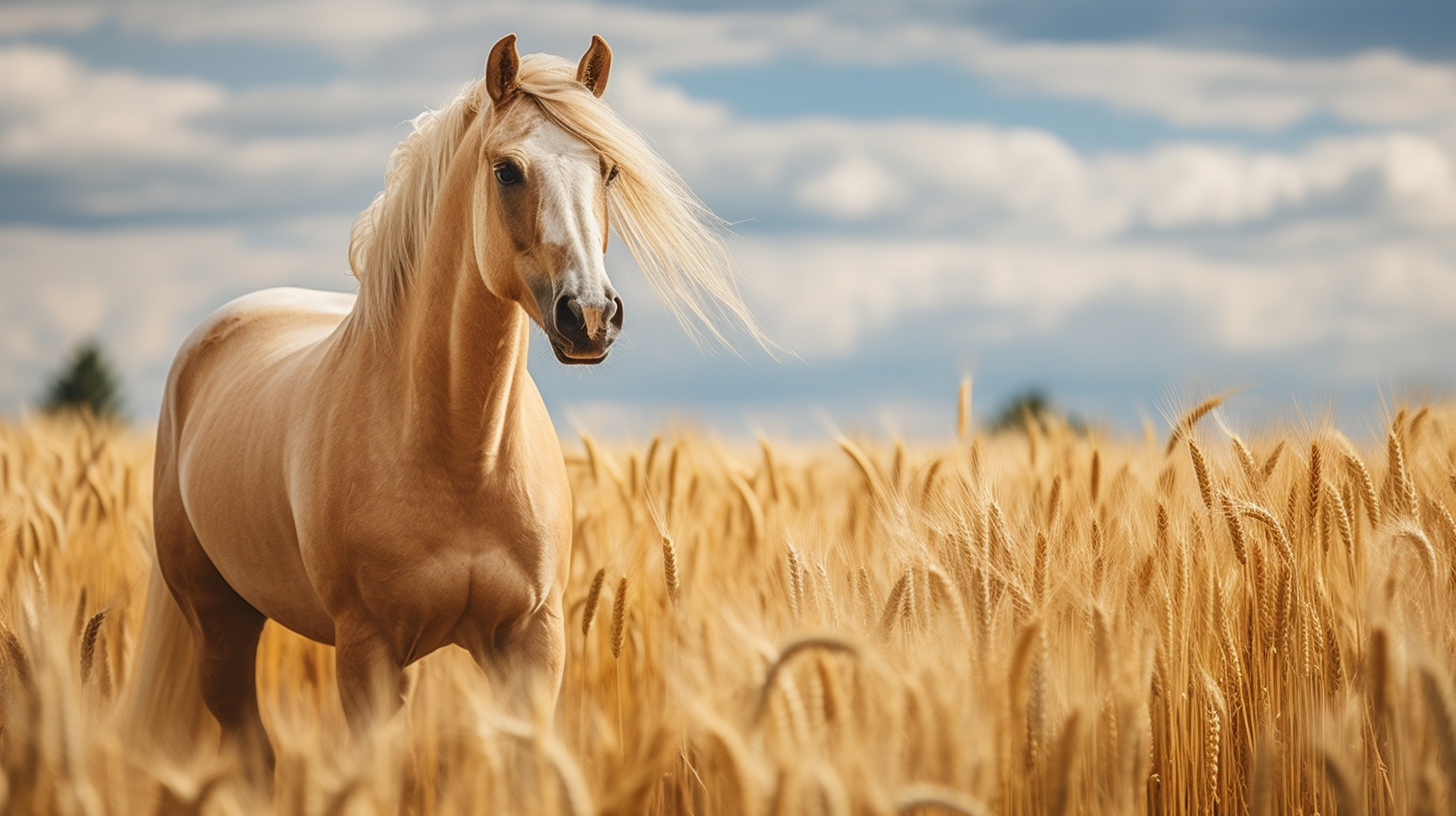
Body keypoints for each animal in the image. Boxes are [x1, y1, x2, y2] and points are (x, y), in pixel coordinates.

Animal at [129, 34, 768, 775]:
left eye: (608, 170)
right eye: (507, 171)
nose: (589, 317)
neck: (464, 450)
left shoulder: (532, 642)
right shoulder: (367, 651)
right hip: (219, 622)